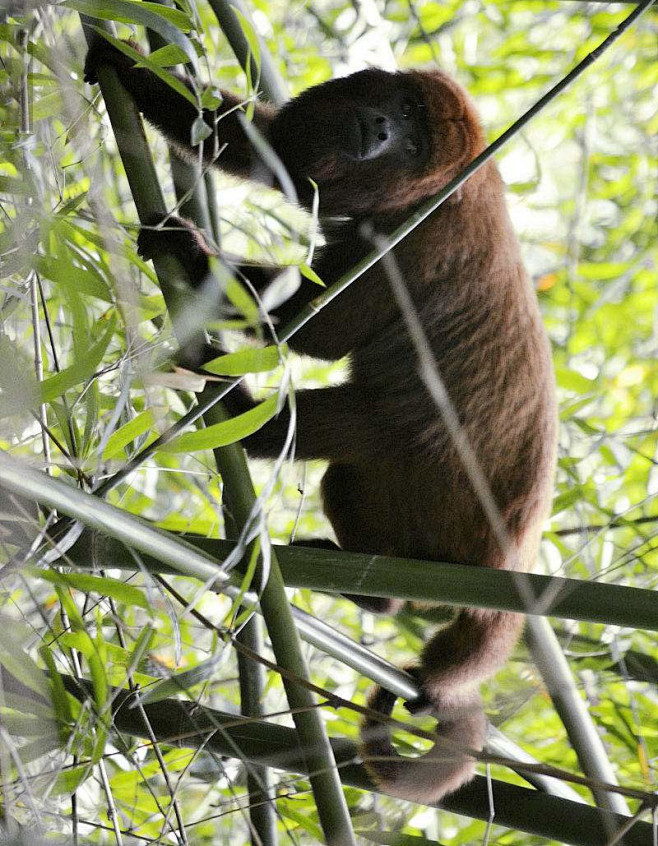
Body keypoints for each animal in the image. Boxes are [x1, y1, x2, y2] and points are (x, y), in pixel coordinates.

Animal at [83, 44, 552, 808]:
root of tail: (506, 555)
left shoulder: (413, 240)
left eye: (413, 141)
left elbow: (313, 326)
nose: (381, 127)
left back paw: (229, 403)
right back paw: (377, 592)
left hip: (421, 458)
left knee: (310, 426)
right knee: (343, 484)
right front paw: (116, 55)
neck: (431, 186)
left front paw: (190, 250)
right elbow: (261, 146)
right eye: (401, 112)